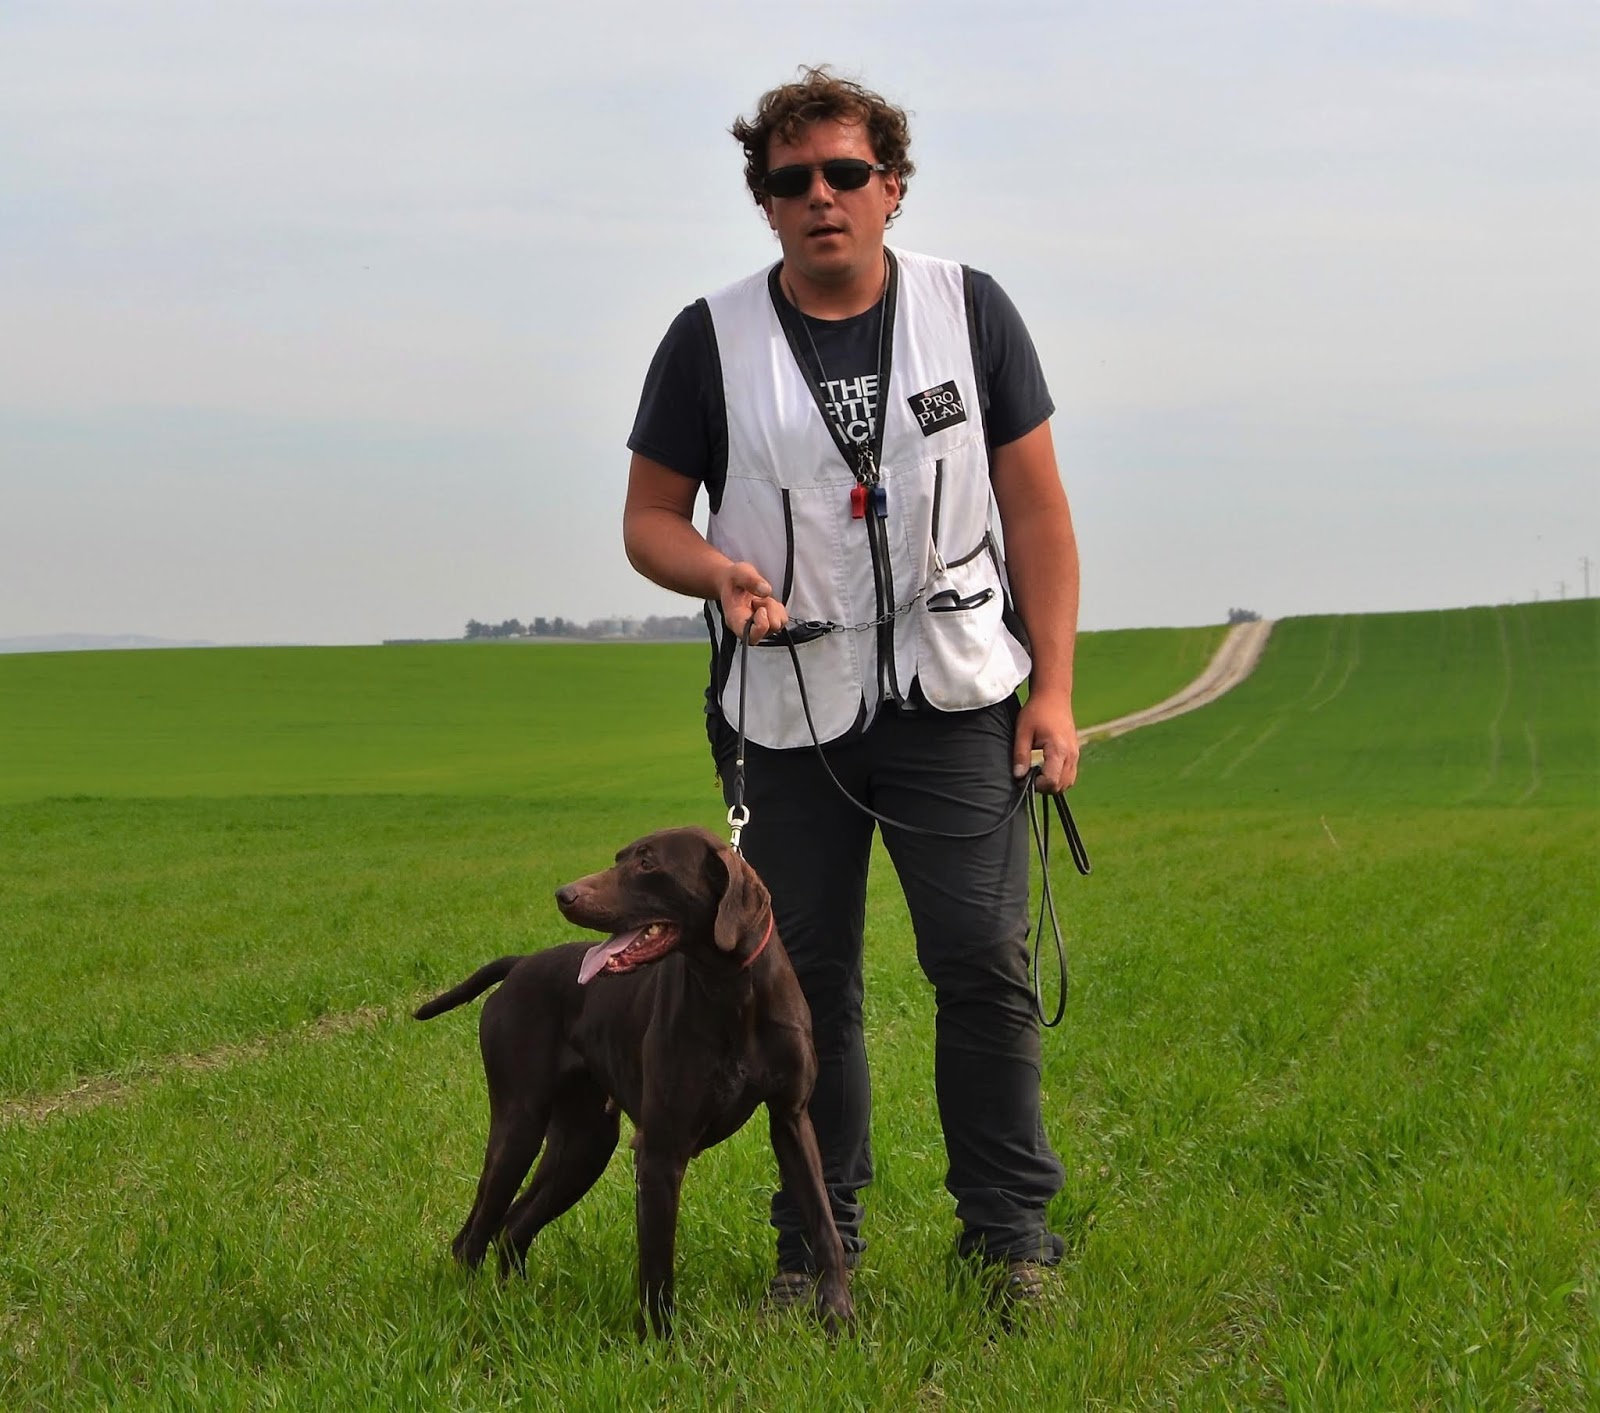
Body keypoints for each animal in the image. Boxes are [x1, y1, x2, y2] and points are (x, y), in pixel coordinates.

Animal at [413, 826, 853, 1337]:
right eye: (619, 858)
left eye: (647, 863)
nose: (564, 895)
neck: (731, 993)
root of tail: (520, 963)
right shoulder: (660, 1150)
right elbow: (657, 1266)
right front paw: (660, 1343)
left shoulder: (791, 1120)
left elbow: (824, 1223)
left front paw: (838, 1313)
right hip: (519, 1126)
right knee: (473, 1236)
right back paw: (471, 1311)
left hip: (583, 1146)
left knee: (512, 1225)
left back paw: (514, 1302)